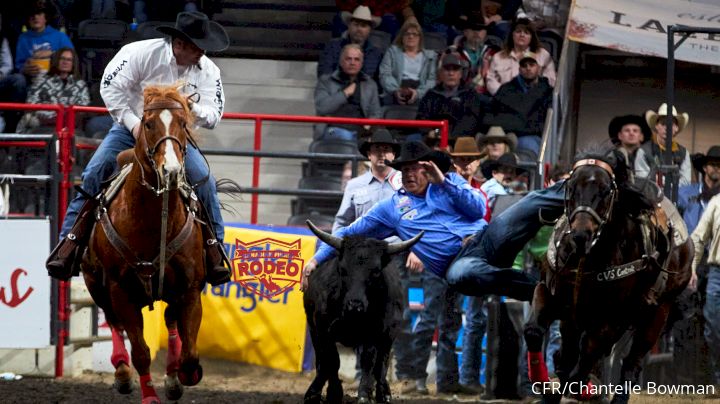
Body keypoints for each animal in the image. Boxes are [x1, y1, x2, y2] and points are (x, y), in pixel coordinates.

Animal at [81, 83, 205, 402]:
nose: (171, 171)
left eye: (183, 123)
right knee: (112, 322)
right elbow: (140, 351)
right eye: (148, 124)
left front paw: (181, 374)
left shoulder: (190, 288)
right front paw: (149, 394)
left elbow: (190, 355)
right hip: (95, 282)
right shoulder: (120, 290)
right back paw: (122, 373)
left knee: (171, 321)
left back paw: (172, 376)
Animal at [524, 149, 692, 404]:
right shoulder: (550, 293)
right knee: (567, 354)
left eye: (605, 191)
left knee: (630, 364)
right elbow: (534, 331)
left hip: (657, 313)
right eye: (571, 187)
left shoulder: (612, 318)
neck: (587, 259)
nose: (581, 234)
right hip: (574, 319)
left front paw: (578, 389)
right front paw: (545, 387)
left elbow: (587, 354)